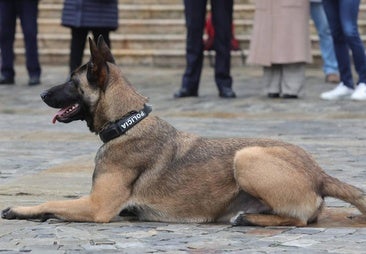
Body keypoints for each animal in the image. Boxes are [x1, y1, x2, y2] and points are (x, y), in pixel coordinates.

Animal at [2, 36, 366, 226]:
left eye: (71, 82)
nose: (41, 93)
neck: (126, 122)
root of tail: (319, 173)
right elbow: (58, 202)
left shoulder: (97, 207)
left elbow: (51, 201)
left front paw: (20, 210)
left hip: (247, 156)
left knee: (299, 220)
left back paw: (246, 219)